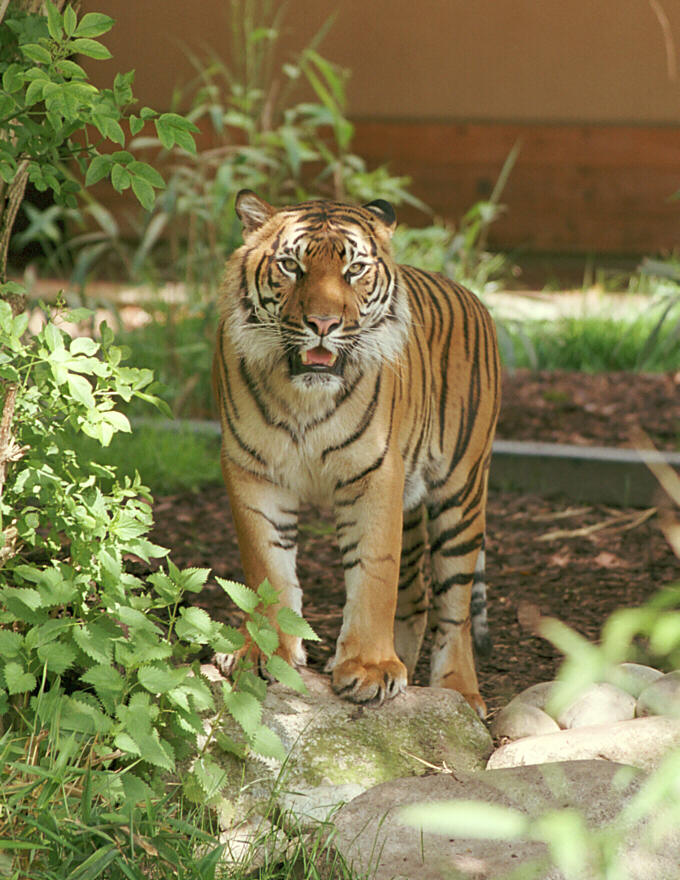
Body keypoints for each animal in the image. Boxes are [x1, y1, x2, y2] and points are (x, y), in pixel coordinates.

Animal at [212, 189, 500, 720]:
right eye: (291, 266)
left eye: (354, 269)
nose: (323, 323)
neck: (304, 395)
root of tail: (470, 294)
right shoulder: (253, 471)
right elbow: (268, 569)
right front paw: (264, 654)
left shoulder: (375, 475)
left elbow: (373, 574)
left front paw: (369, 668)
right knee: (417, 596)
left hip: (462, 493)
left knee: (455, 607)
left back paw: (458, 691)